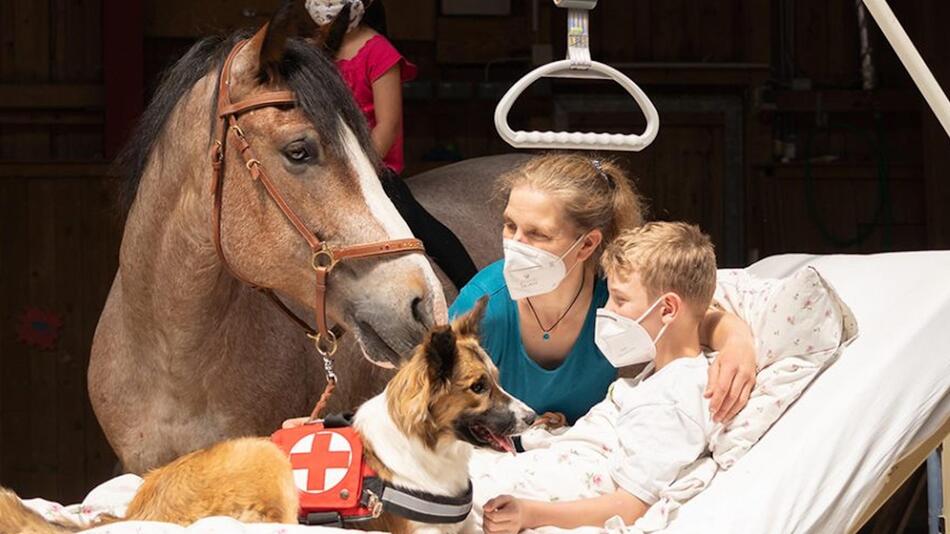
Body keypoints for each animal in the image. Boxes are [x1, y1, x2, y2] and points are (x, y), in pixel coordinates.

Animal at [0, 300, 536, 532]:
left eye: (496, 378)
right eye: (478, 387)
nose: (532, 418)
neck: (429, 448)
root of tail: (138, 512)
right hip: (265, 457)